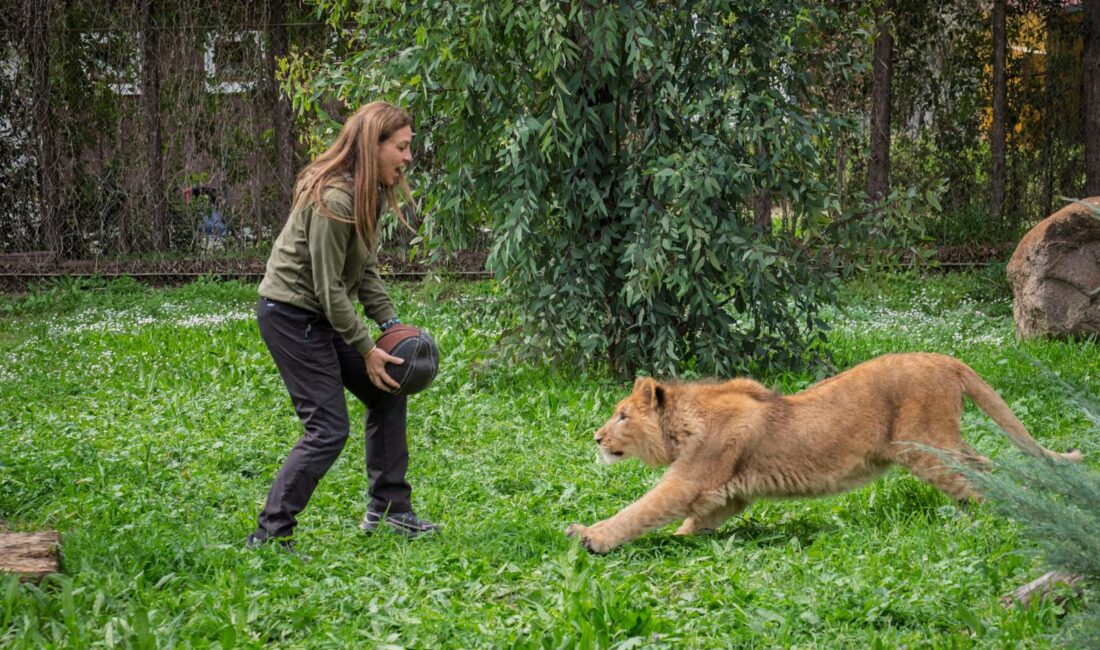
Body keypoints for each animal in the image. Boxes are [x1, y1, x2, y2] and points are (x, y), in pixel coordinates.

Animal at [567, 351, 1082, 554]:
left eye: (621, 415)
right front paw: (678, 540)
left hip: (924, 446)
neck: (685, 423)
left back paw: (991, 522)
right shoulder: (727, 495)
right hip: (941, 443)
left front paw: (589, 537)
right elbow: (692, 524)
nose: (596, 437)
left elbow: (641, 509)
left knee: (976, 482)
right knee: (987, 465)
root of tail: (944, 358)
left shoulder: (691, 480)